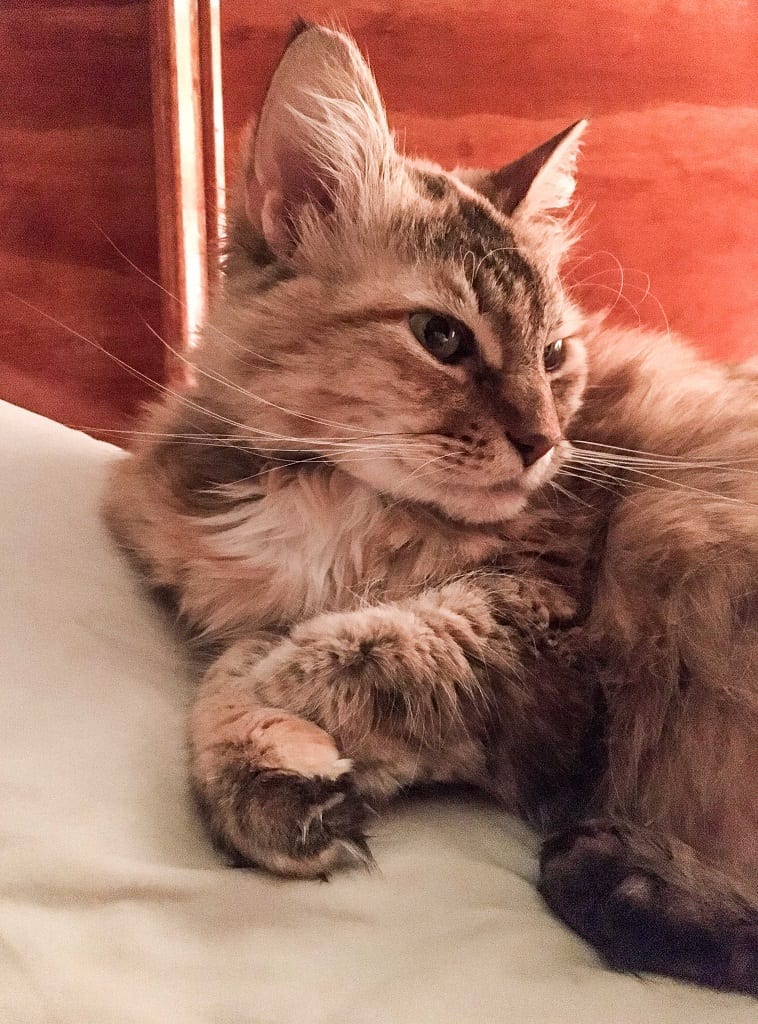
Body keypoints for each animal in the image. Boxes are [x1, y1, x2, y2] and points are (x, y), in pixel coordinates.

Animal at [103, 19, 753, 995]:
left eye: (554, 353)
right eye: (441, 337)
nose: (544, 442)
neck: (331, 497)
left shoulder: (540, 630)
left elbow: (334, 649)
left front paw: (263, 738)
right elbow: (268, 653)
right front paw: (270, 781)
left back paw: (618, 880)